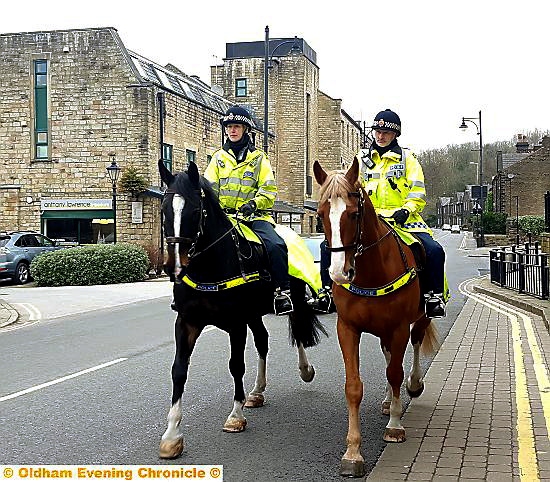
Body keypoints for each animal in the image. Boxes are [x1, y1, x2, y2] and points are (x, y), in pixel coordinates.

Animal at [157, 160, 328, 458]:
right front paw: (172, 435)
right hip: (254, 313)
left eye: (194, 210)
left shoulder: (235, 324)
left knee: (297, 328)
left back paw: (304, 370)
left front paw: (235, 416)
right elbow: (179, 370)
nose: (174, 266)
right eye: (165, 210)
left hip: (291, 300)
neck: (210, 266)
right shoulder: (187, 322)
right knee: (263, 340)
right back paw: (257, 392)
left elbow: (236, 365)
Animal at [314, 158, 440, 478]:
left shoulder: (398, 328)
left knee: (414, 346)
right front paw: (353, 452)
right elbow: (354, 386)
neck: (371, 270)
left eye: (354, 213)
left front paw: (395, 426)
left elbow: (395, 373)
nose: (338, 273)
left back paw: (413, 385)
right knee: (387, 356)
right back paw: (386, 400)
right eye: (320, 215)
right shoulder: (348, 328)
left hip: (417, 320)